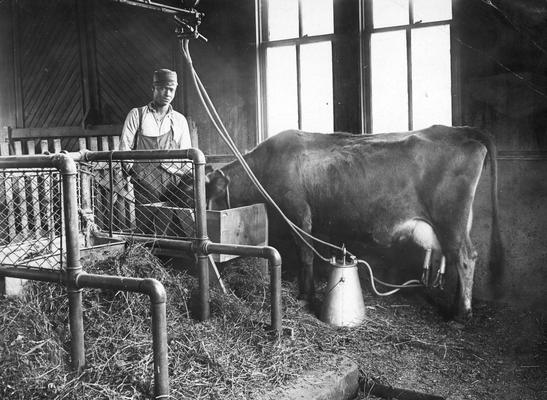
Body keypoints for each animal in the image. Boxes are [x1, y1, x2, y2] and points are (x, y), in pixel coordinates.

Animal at [203, 126, 504, 322]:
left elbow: (305, 254)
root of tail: (458, 131)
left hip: (450, 219)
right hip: (459, 222)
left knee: (465, 257)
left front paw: (305, 295)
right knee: (463, 257)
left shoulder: (298, 213)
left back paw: (461, 315)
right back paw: (455, 306)